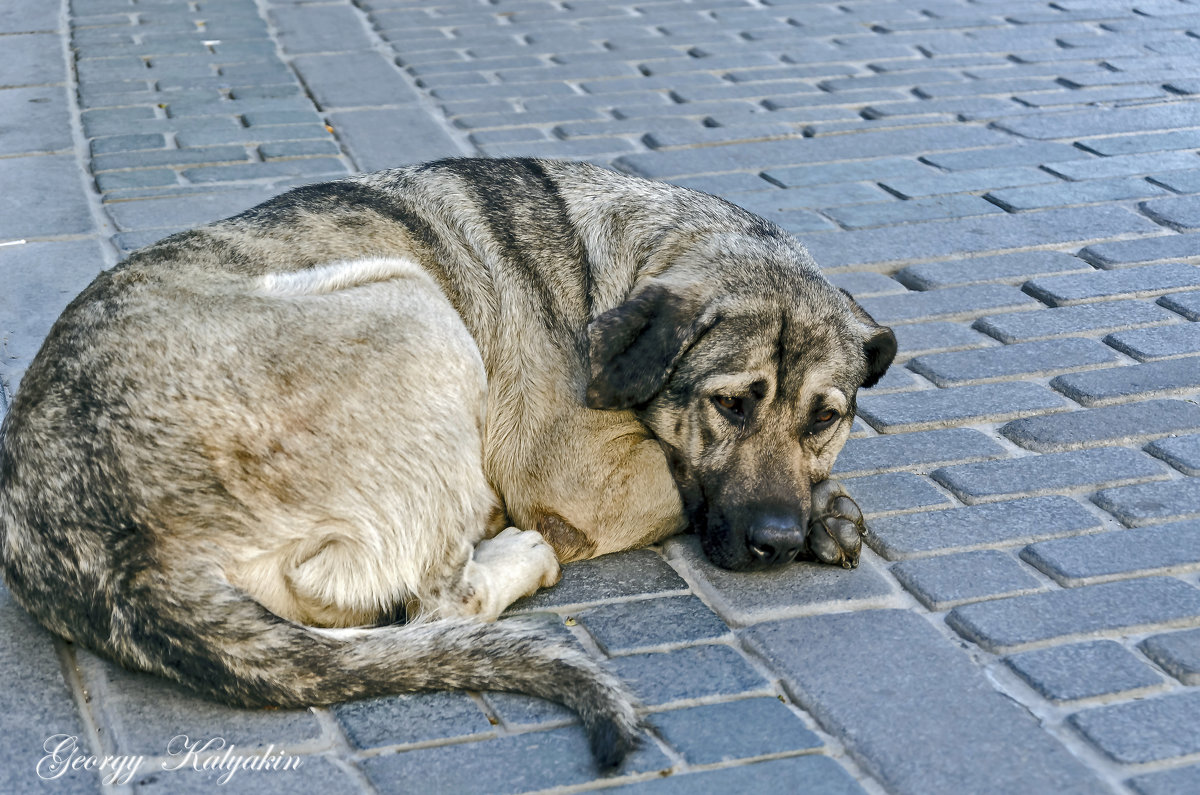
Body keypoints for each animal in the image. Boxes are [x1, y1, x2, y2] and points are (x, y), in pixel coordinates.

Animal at [0, 158, 892, 768]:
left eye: (825, 418)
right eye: (730, 404)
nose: (776, 540)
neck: (617, 264)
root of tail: (109, 546)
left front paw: (823, 510)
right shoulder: (578, 473)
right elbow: (681, 483)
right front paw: (820, 514)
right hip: (412, 301)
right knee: (428, 595)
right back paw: (517, 553)